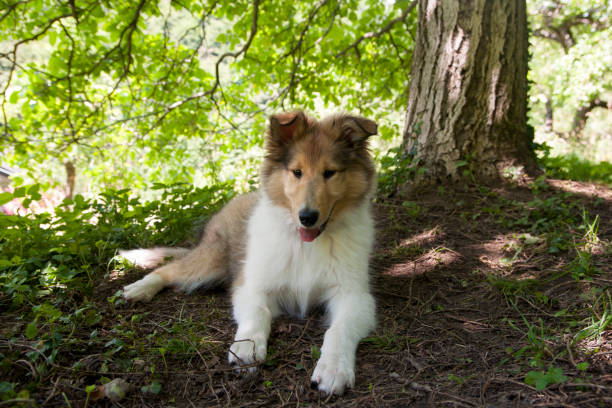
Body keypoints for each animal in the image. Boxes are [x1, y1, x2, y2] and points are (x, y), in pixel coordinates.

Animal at [120, 111, 378, 396]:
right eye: (297, 172)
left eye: (330, 173)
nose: (307, 217)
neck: (306, 244)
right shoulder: (252, 284)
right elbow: (258, 312)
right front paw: (246, 347)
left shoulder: (354, 296)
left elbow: (339, 330)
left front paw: (333, 368)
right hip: (212, 260)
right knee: (169, 269)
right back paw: (139, 288)